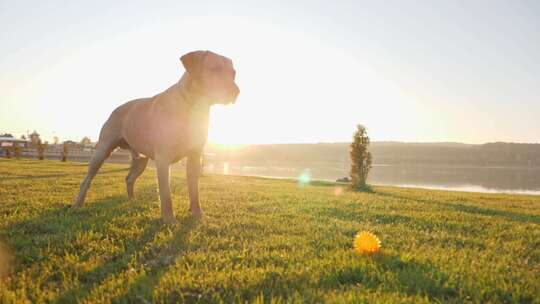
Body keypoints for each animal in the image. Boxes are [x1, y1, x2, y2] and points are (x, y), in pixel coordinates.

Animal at [73, 50, 240, 223]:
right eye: (214, 69)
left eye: (233, 74)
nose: (236, 92)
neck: (192, 105)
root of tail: (115, 109)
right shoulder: (163, 158)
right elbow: (166, 193)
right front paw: (169, 219)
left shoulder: (195, 156)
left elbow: (194, 190)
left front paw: (197, 214)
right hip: (103, 150)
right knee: (87, 180)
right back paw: (78, 204)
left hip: (141, 160)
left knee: (129, 178)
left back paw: (132, 200)